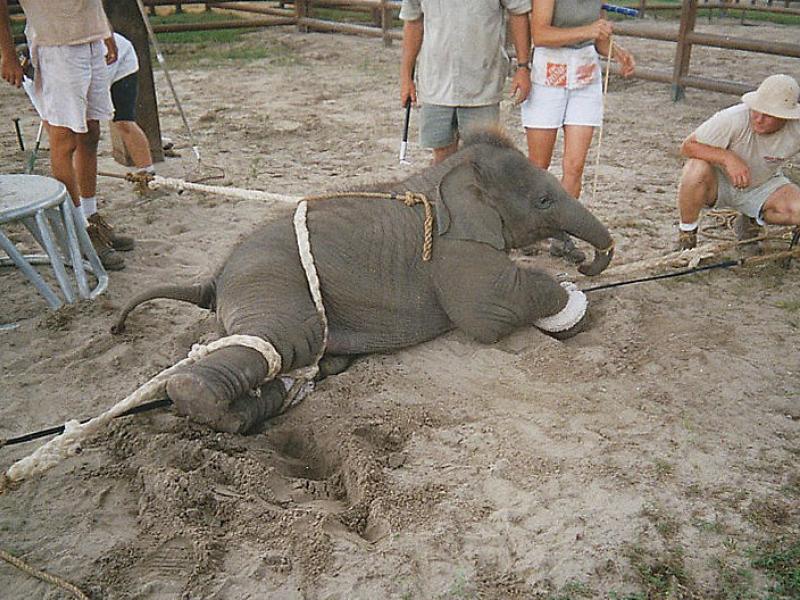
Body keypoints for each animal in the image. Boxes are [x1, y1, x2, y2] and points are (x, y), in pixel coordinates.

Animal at [112, 129, 614, 434]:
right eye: (544, 201)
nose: (587, 262)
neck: (445, 173)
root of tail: (214, 276)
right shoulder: (453, 247)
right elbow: (488, 313)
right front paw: (572, 304)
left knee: (296, 369)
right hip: (272, 284)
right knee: (275, 339)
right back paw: (212, 406)